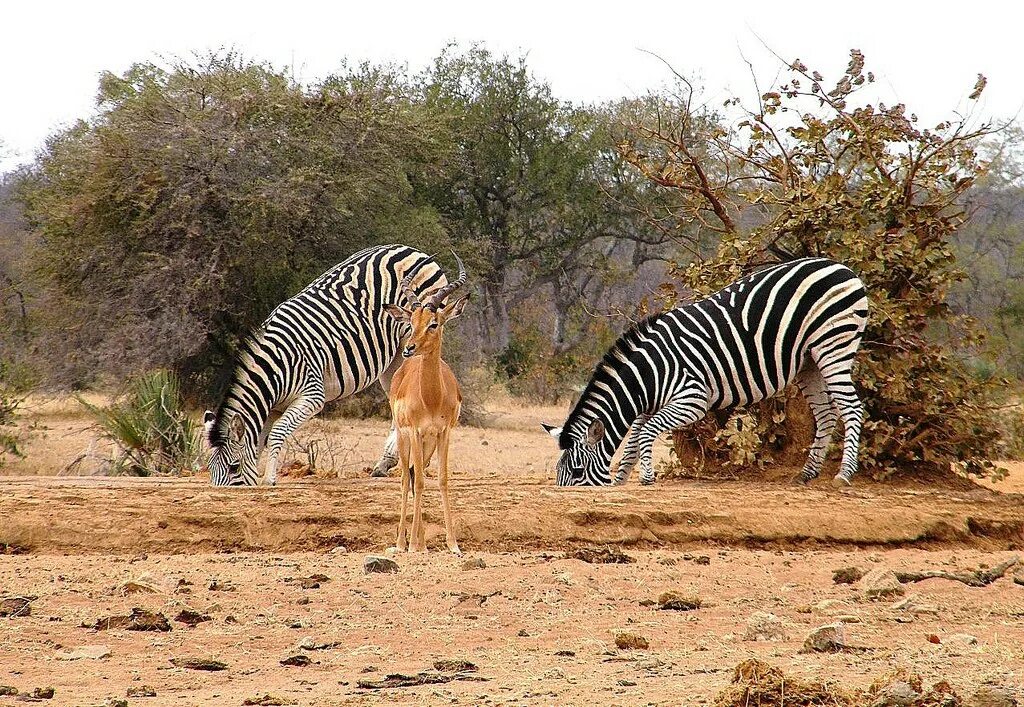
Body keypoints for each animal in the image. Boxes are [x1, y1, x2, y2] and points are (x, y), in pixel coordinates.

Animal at [203, 243, 448, 483]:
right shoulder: (273, 407)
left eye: (234, 467)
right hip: (394, 359)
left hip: (413, 343)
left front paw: (269, 479)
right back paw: (385, 464)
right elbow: (261, 440)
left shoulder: (313, 396)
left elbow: (277, 433)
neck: (275, 369)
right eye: (210, 469)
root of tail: (411, 249)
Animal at [382, 252, 468, 549]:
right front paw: (410, 546)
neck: (432, 398)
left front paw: (453, 545)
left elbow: (441, 480)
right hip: (404, 436)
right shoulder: (417, 431)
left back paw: (419, 541)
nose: (409, 348)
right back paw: (403, 542)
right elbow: (418, 482)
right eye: (412, 323)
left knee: (412, 474)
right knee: (405, 479)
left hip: (427, 444)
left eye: (434, 323)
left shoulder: (443, 433)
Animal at [540, 257, 868, 483]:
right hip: (809, 360)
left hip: (833, 344)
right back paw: (807, 474)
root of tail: (844, 269)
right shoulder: (651, 403)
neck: (650, 374)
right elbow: (633, 438)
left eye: (577, 471)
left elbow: (645, 432)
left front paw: (645, 478)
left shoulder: (692, 398)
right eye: (559, 472)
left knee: (852, 408)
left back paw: (844, 474)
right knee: (826, 414)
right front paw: (621, 479)